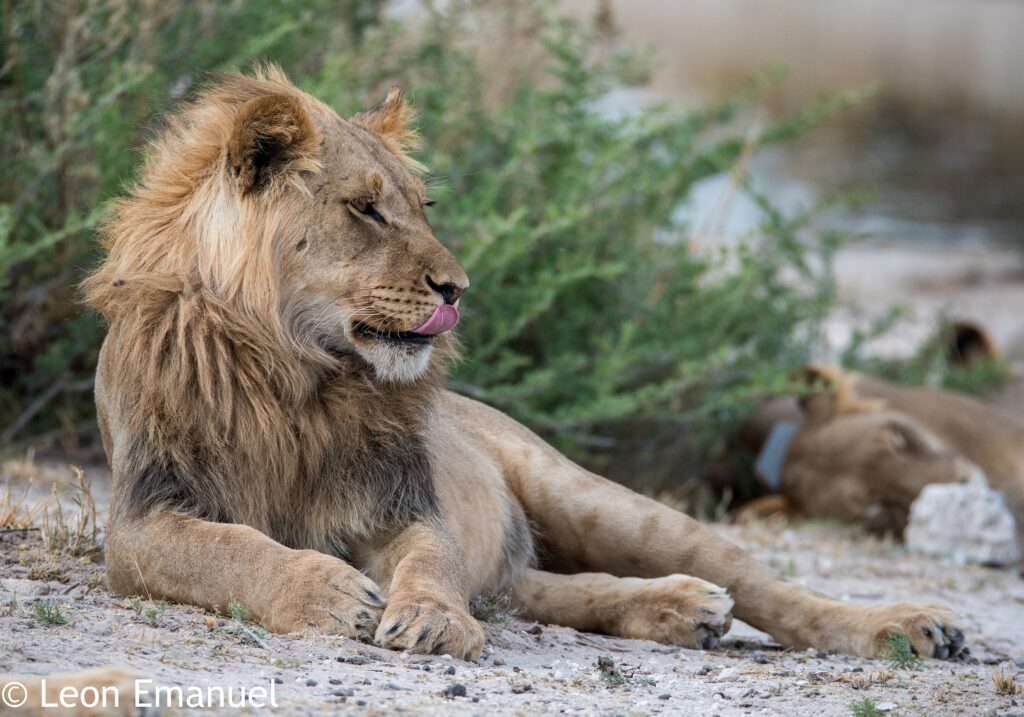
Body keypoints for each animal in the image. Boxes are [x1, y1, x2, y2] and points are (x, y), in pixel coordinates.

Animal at [81, 66, 965, 662]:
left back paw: (906, 625)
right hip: (527, 565)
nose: (458, 287)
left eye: (420, 207)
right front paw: (321, 588)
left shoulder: (402, 503)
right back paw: (681, 609)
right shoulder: (143, 515)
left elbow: (432, 558)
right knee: (547, 589)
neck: (294, 372)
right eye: (365, 209)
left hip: (603, 502)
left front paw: (433, 617)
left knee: (770, 587)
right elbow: (228, 548)